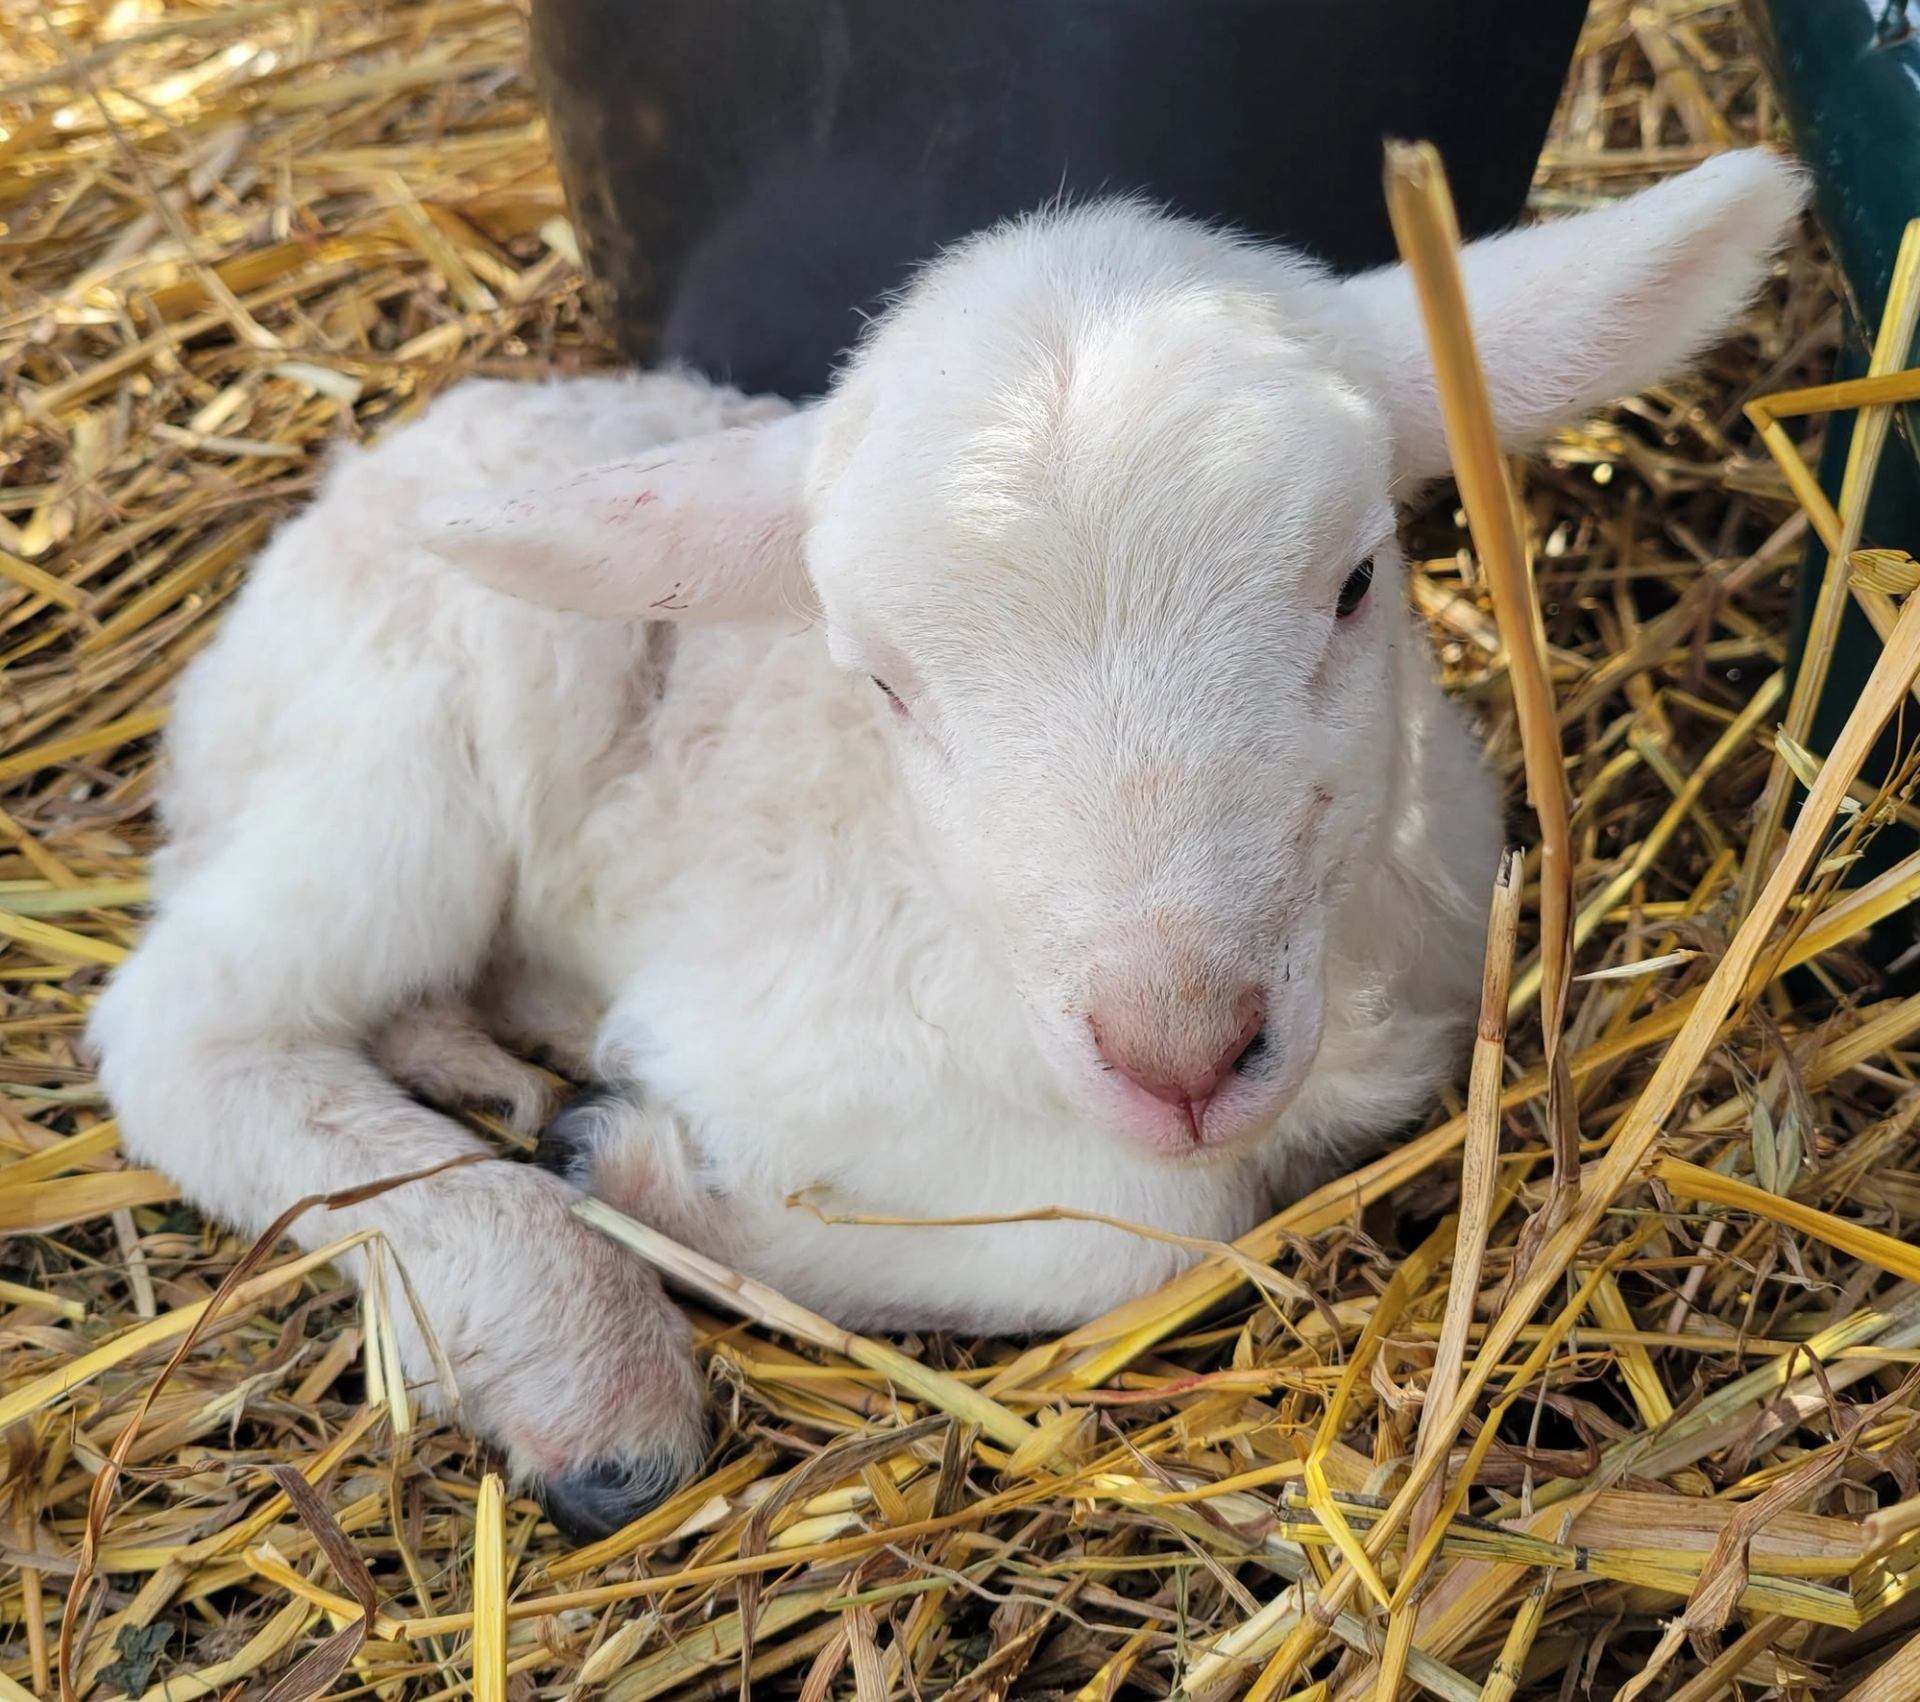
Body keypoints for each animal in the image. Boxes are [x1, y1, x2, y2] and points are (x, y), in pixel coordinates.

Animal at [90, 150, 1805, 1540]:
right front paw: (635, 1167)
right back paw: (582, 1348)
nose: (1181, 1048)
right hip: (413, 736)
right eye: (881, 680)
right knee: (194, 1022)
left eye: (1356, 581)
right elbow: (1146, 1242)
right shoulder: (760, 1035)